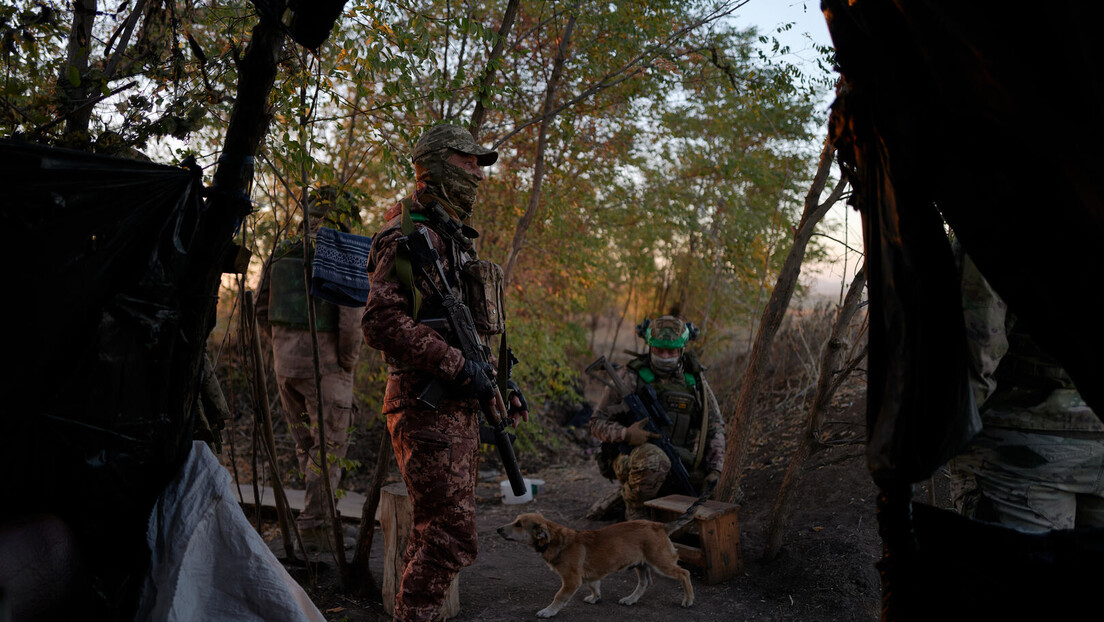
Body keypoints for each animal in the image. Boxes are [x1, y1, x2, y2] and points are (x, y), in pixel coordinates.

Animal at [499, 510, 693, 618]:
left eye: (518, 524)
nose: (498, 529)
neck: (556, 540)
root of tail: (661, 526)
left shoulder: (571, 580)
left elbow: (559, 597)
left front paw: (548, 611)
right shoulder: (590, 576)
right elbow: (594, 587)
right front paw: (595, 598)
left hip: (660, 563)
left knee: (684, 573)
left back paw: (688, 600)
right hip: (642, 564)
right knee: (645, 582)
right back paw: (630, 599)